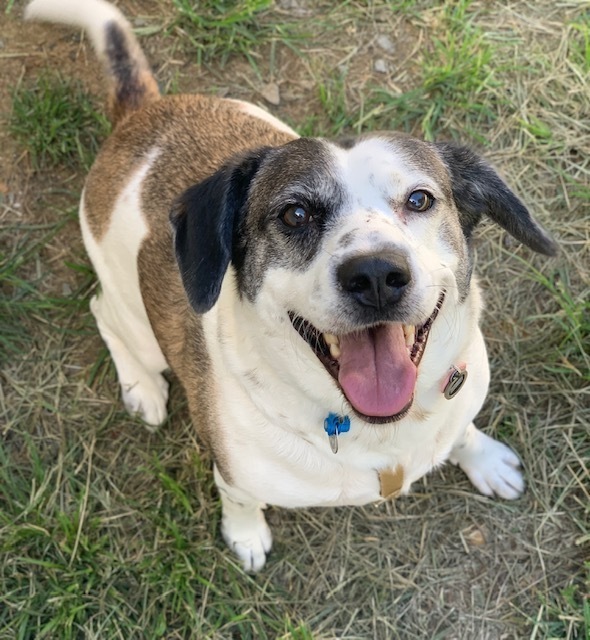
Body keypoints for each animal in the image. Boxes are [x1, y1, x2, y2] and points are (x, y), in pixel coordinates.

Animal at [24, 0, 560, 568]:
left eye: (420, 199)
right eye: (295, 213)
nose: (376, 275)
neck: (376, 431)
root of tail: (142, 117)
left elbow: (460, 429)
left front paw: (482, 456)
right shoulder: (234, 473)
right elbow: (238, 500)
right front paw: (245, 535)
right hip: (136, 319)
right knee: (102, 311)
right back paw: (141, 386)